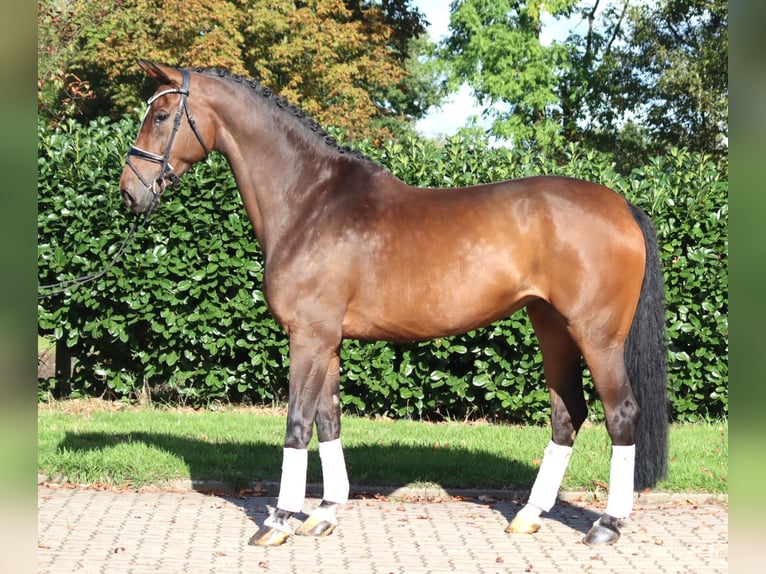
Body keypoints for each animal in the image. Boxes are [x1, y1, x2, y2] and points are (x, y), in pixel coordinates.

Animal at [119, 60, 668, 547]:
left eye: (161, 115)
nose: (130, 193)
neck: (309, 201)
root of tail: (622, 206)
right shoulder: (328, 341)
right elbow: (328, 420)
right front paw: (324, 513)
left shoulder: (308, 337)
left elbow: (297, 424)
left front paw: (278, 520)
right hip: (551, 327)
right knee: (567, 413)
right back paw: (529, 516)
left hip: (597, 336)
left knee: (621, 414)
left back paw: (607, 525)